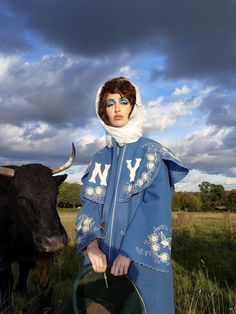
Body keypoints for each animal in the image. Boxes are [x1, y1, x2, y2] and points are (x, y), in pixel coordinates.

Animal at [0, 144, 75, 312]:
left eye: (56, 193)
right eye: (21, 197)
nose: (55, 242)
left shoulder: (30, 258)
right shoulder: (2, 260)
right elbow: (7, 283)